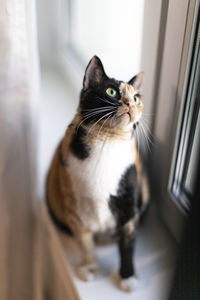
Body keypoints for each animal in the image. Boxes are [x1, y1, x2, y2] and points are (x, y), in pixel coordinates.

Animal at [46, 55, 150, 292]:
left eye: (136, 97)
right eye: (111, 91)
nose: (130, 103)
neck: (106, 144)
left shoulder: (129, 205)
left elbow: (128, 245)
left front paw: (127, 278)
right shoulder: (75, 209)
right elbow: (85, 243)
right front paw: (89, 268)